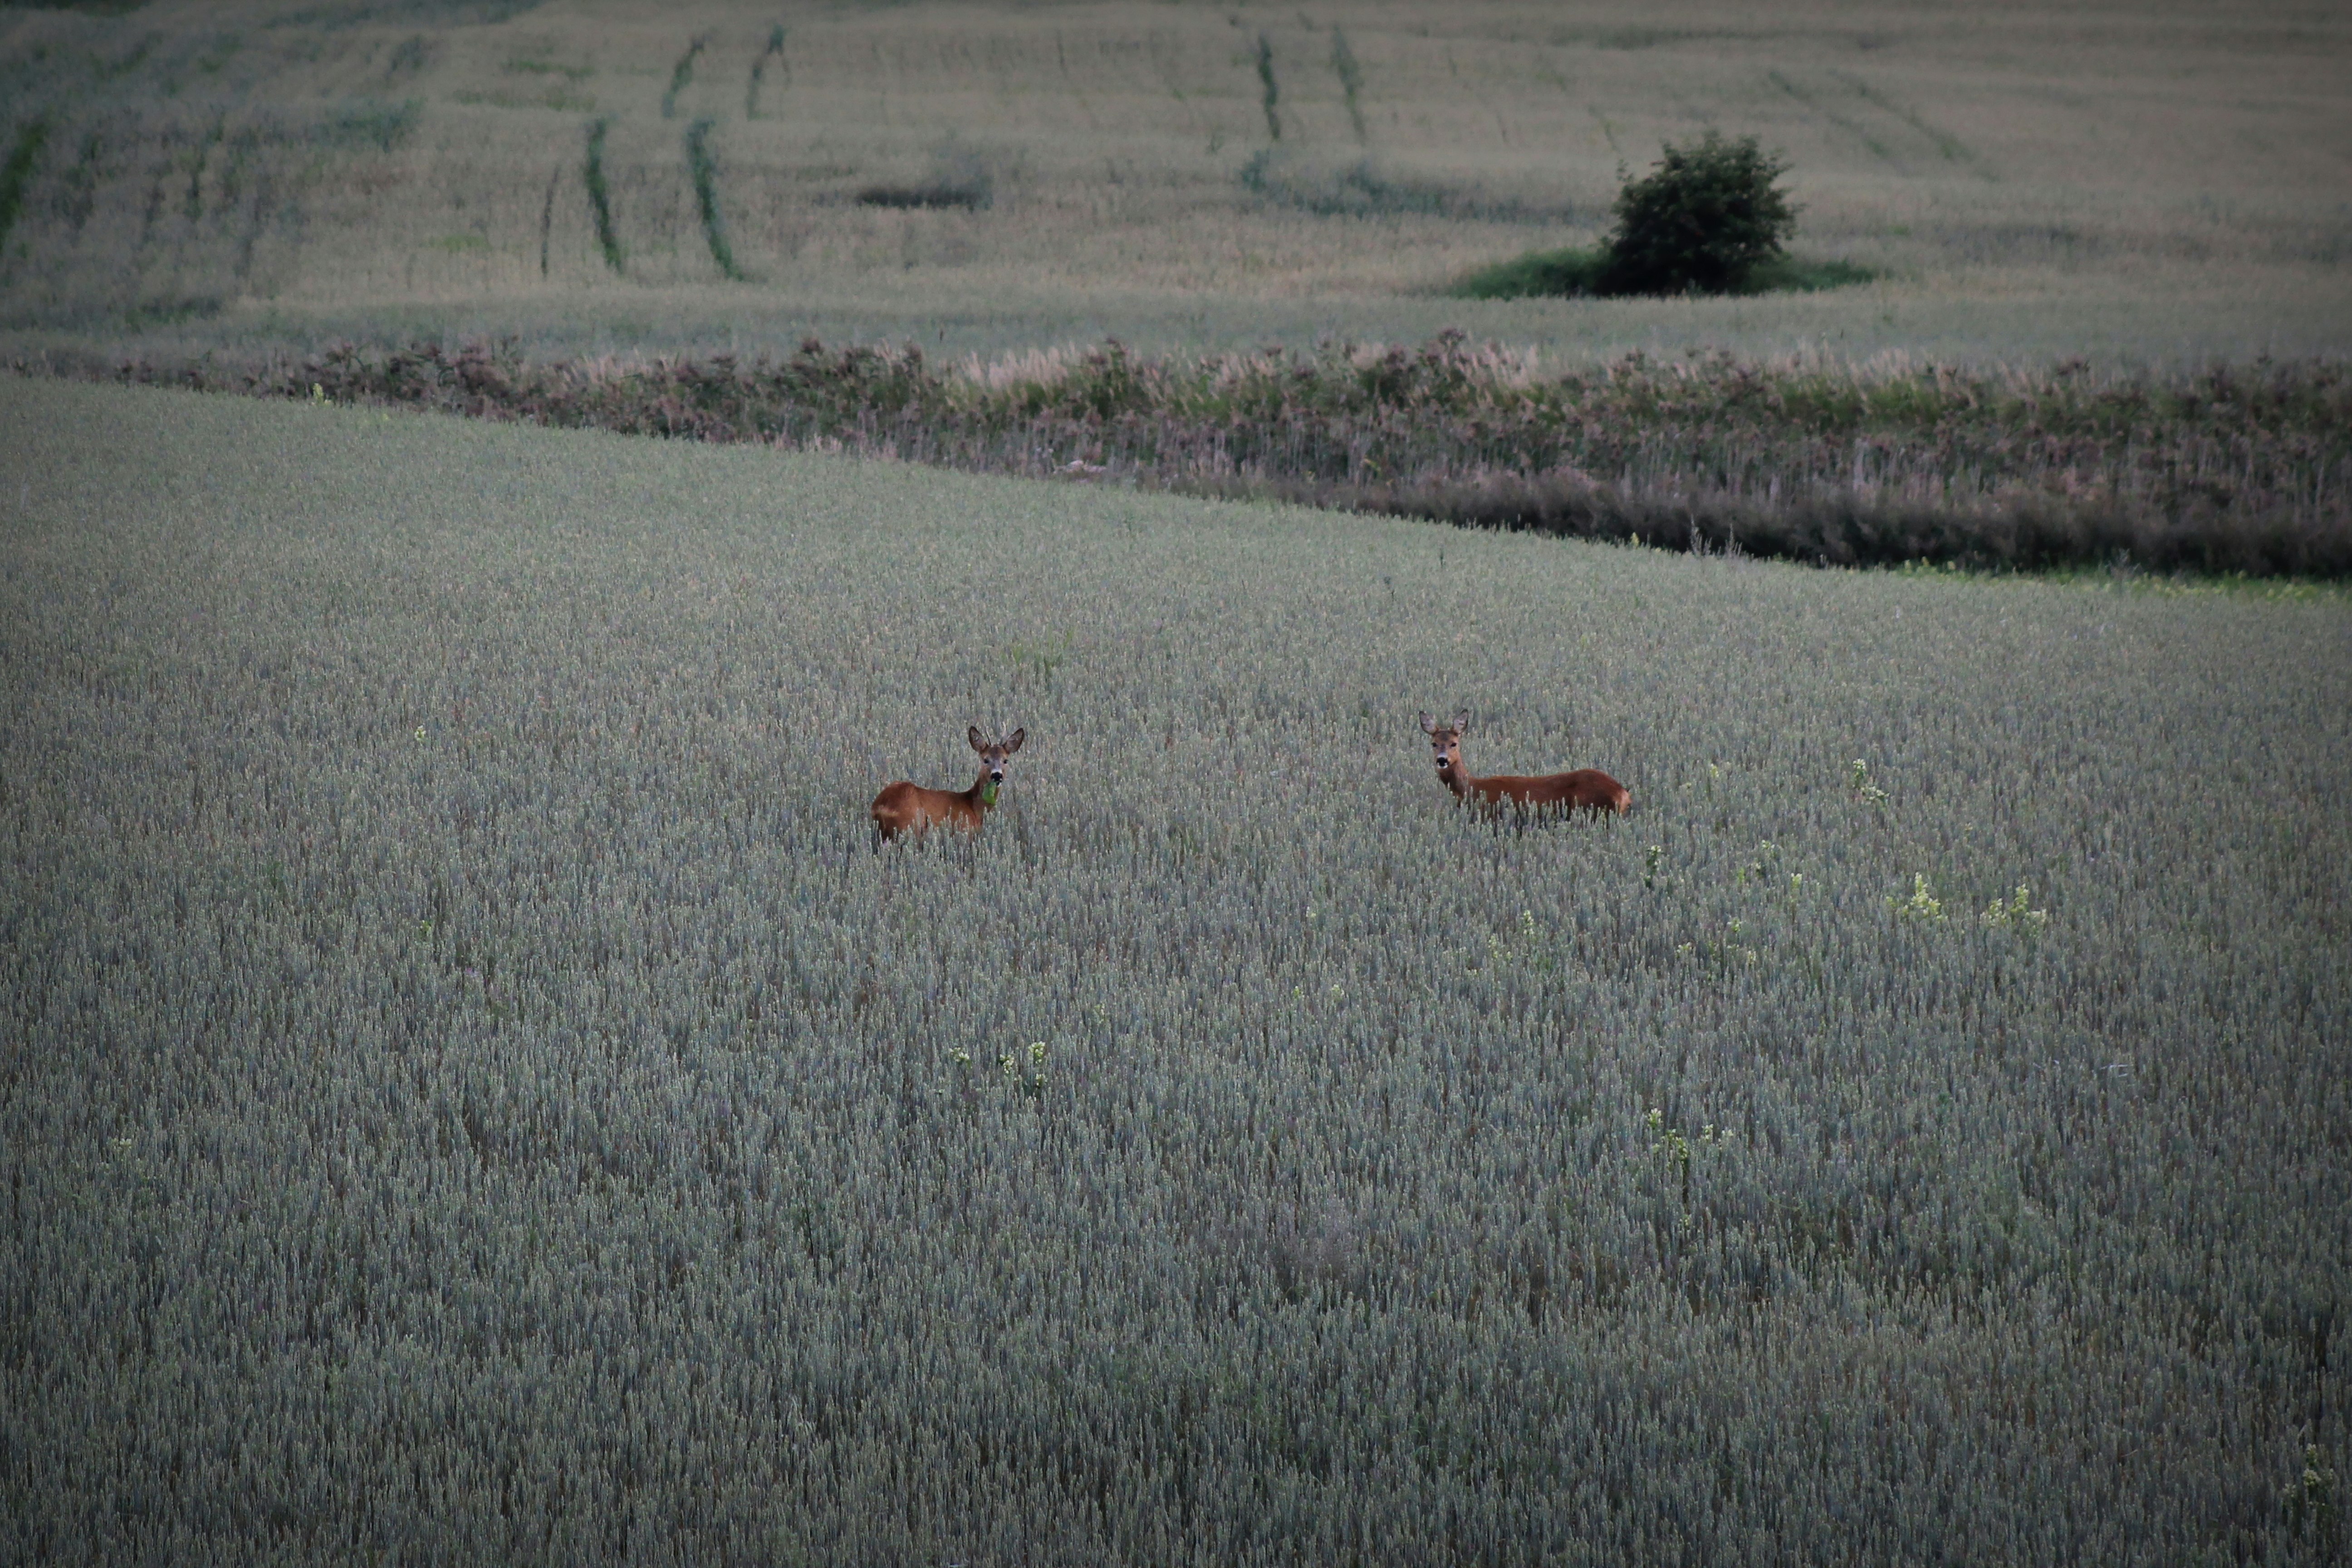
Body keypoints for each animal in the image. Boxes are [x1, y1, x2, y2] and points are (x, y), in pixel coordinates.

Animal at [861, 728, 1016, 846]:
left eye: (1005, 760)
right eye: (986, 760)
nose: (997, 776)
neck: (973, 807)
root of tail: (880, 806)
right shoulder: (965, 832)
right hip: (909, 827)